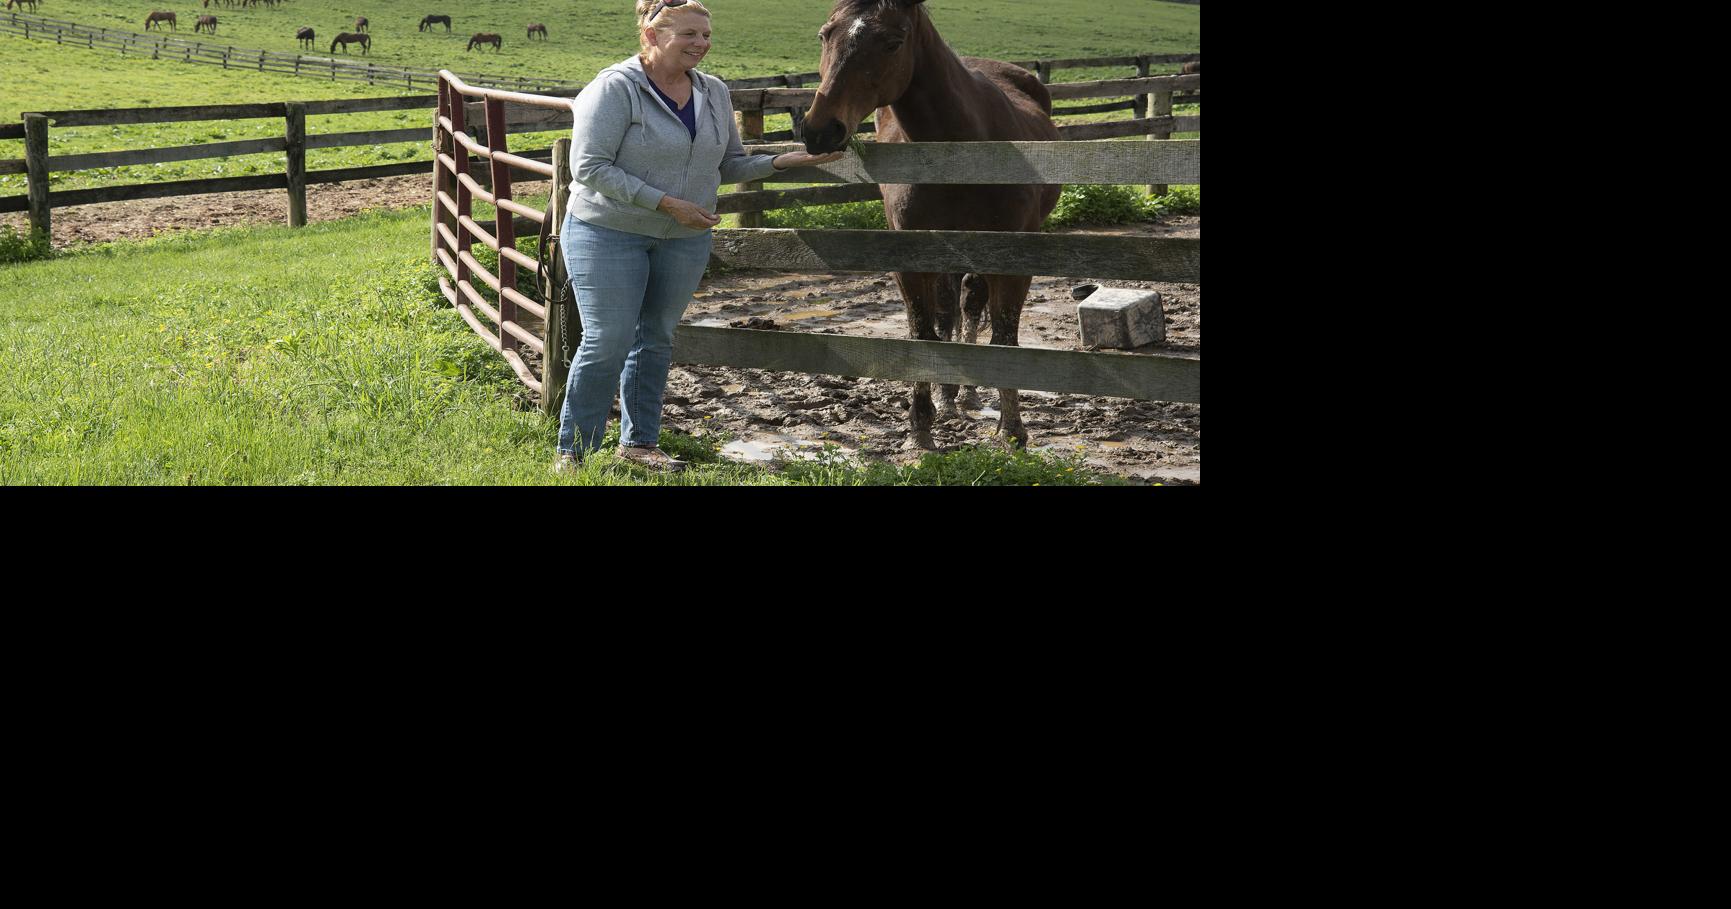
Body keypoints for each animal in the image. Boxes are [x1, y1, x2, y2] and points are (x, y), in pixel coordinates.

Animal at [801, 0, 1060, 449]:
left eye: (892, 42)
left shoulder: (1014, 259)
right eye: (824, 34)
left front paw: (1011, 432)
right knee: (950, 309)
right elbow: (924, 332)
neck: (960, 149)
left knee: (970, 303)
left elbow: (1004, 338)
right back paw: (950, 393)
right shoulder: (912, 257)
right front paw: (920, 428)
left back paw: (969, 392)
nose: (819, 129)